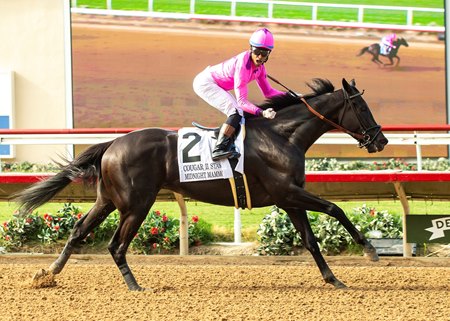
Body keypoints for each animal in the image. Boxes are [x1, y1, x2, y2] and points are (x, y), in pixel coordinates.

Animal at [12, 77, 388, 290]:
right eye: (362, 107)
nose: (381, 140)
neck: (282, 136)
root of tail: (113, 143)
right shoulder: (288, 192)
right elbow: (335, 208)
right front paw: (369, 249)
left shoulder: (288, 199)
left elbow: (310, 240)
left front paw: (334, 279)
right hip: (136, 204)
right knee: (116, 245)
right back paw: (135, 286)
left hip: (108, 200)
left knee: (78, 230)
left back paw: (48, 274)